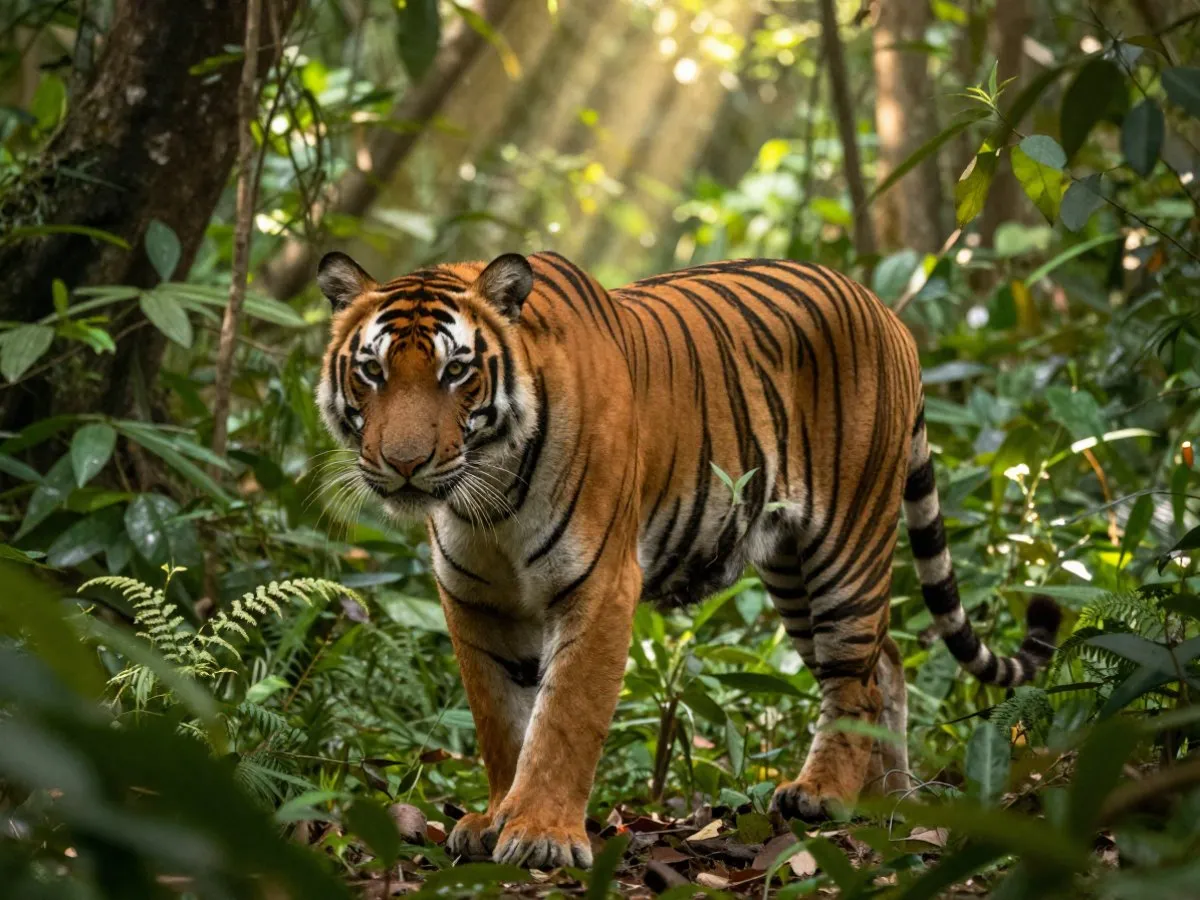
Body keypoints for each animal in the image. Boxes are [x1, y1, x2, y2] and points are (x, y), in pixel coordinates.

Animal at [315, 250, 1061, 870]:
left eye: (457, 371)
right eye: (373, 370)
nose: (404, 464)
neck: (489, 492)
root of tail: (886, 312)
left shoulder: (600, 586)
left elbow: (562, 719)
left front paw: (541, 834)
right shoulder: (474, 599)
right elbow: (500, 719)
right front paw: (496, 816)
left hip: (844, 545)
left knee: (856, 679)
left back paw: (823, 794)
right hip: (791, 567)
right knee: (887, 663)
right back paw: (891, 800)